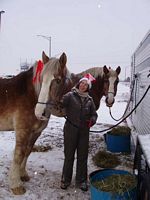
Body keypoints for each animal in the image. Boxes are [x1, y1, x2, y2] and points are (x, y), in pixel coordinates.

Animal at [0, 50, 69, 195]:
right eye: (42, 79)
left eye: (58, 80)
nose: (40, 112)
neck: (30, 95)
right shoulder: (22, 131)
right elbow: (18, 154)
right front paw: (16, 185)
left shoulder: (36, 132)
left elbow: (28, 151)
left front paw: (23, 175)